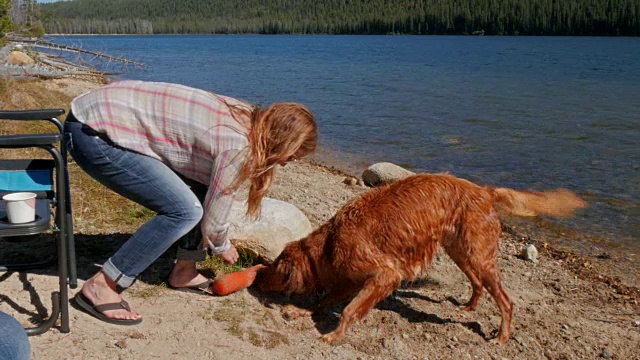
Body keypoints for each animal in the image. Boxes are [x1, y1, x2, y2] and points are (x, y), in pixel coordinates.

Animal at [258, 173, 588, 344]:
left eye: (273, 266)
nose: (258, 274)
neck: (330, 241)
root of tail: (484, 191)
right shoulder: (351, 280)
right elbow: (324, 301)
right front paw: (300, 312)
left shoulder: (385, 275)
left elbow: (349, 310)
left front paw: (334, 335)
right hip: (461, 252)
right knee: (477, 284)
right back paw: (469, 307)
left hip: (478, 256)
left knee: (506, 301)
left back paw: (502, 336)